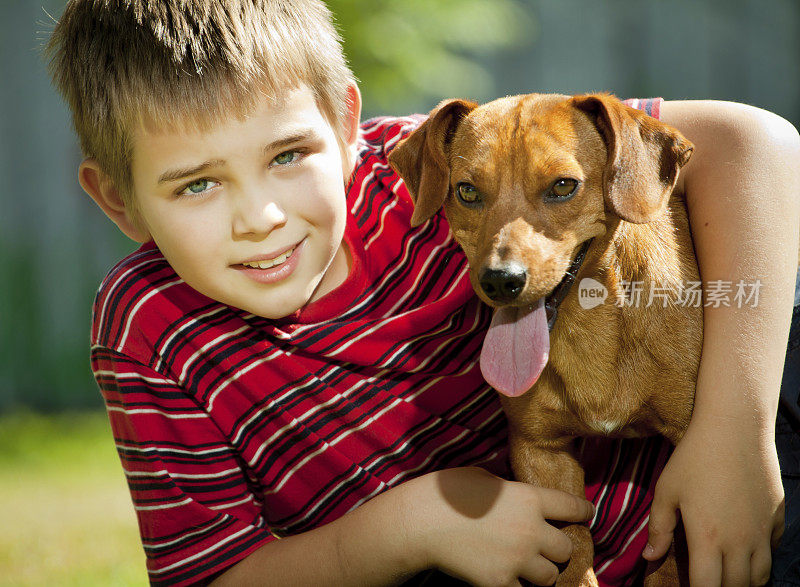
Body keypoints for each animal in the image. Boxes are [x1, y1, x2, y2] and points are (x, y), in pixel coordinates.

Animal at [390, 94, 700, 584]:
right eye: (467, 191)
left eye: (563, 186)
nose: (500, 280)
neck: (591, 329)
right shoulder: (542, 454)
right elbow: (574, 559)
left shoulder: (686, 462)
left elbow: (669, 557)